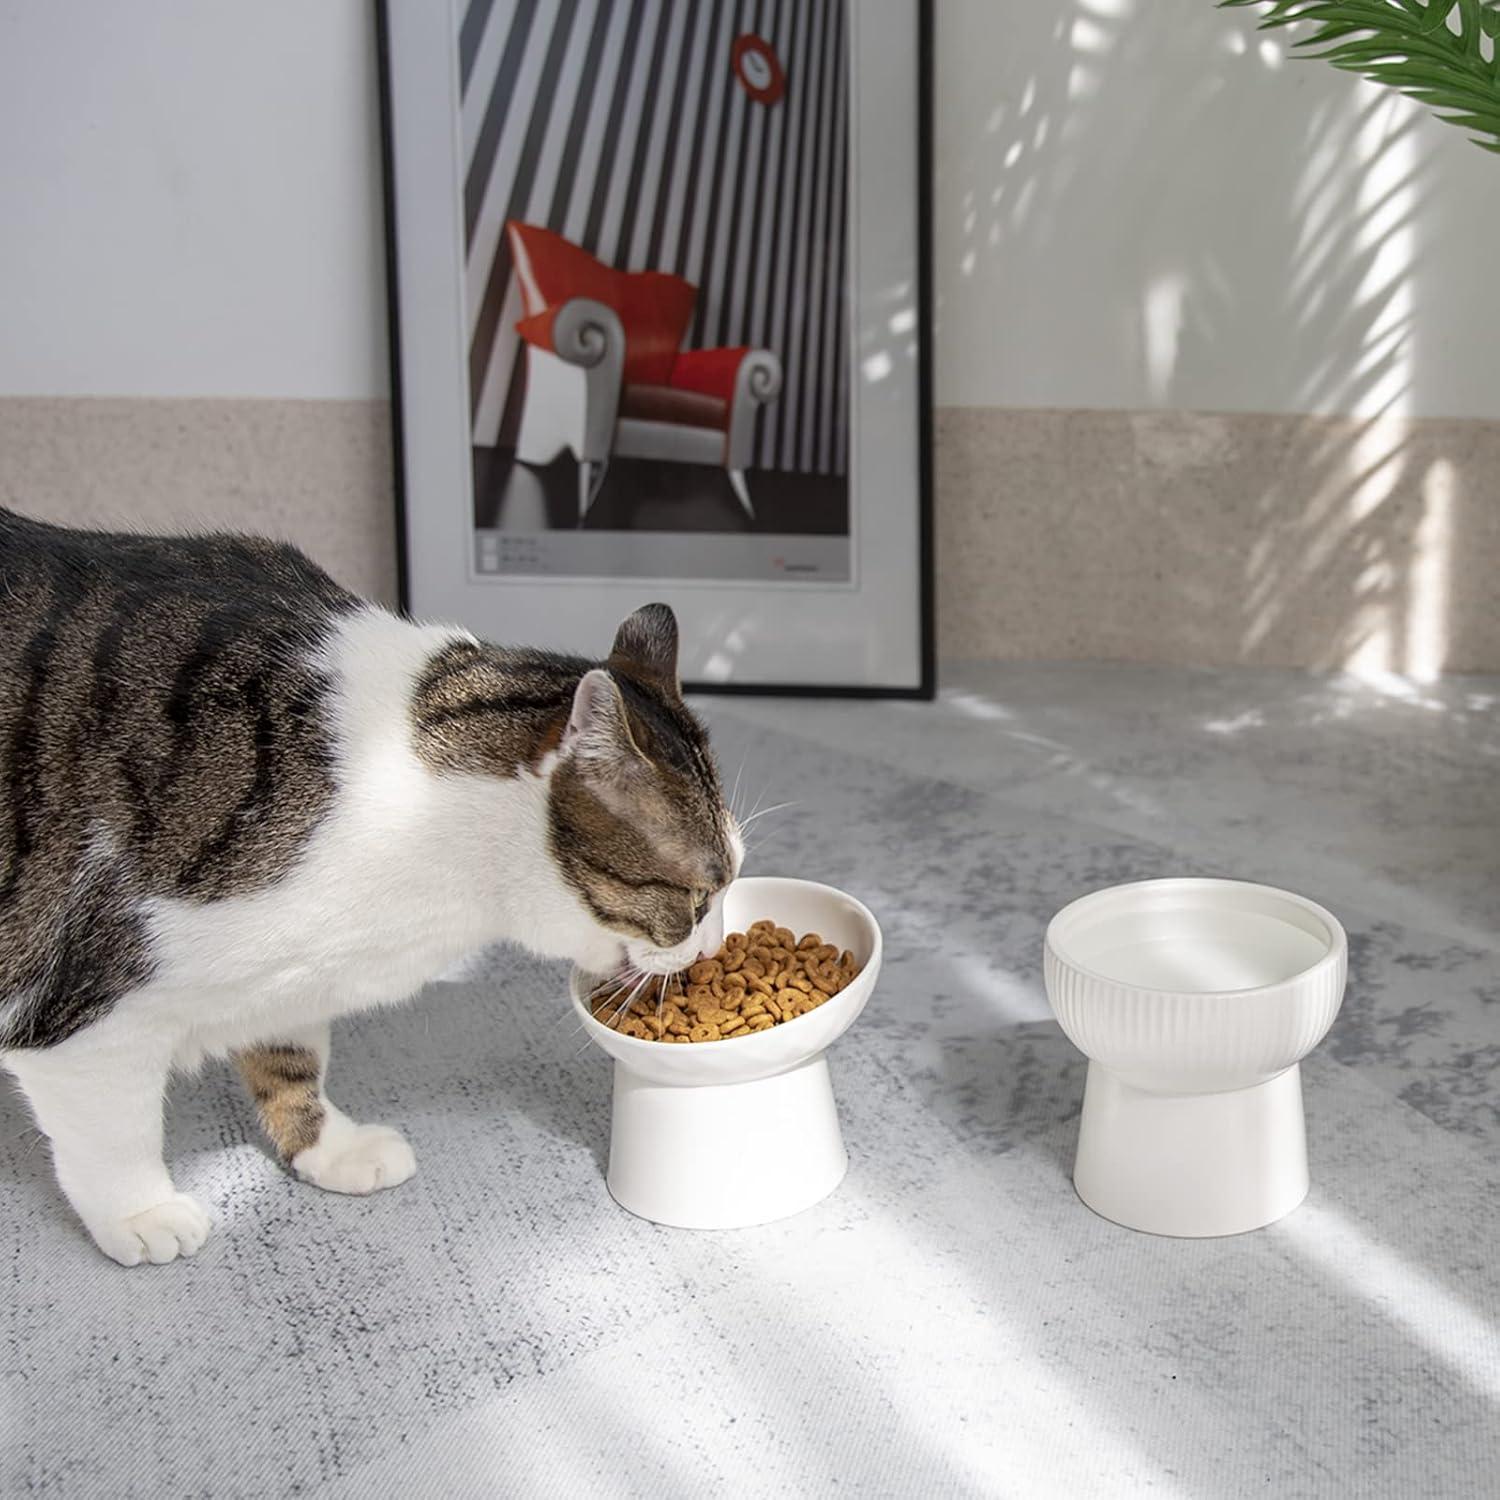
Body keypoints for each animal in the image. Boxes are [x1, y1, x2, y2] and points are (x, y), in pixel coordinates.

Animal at [0, 507, 738, 1266]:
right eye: (699, 898)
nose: (714, 946)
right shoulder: (86, 1009)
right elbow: (116, 1130)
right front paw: (141, 1212)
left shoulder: (288, 975)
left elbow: (292, 1059)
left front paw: (328, 1148)